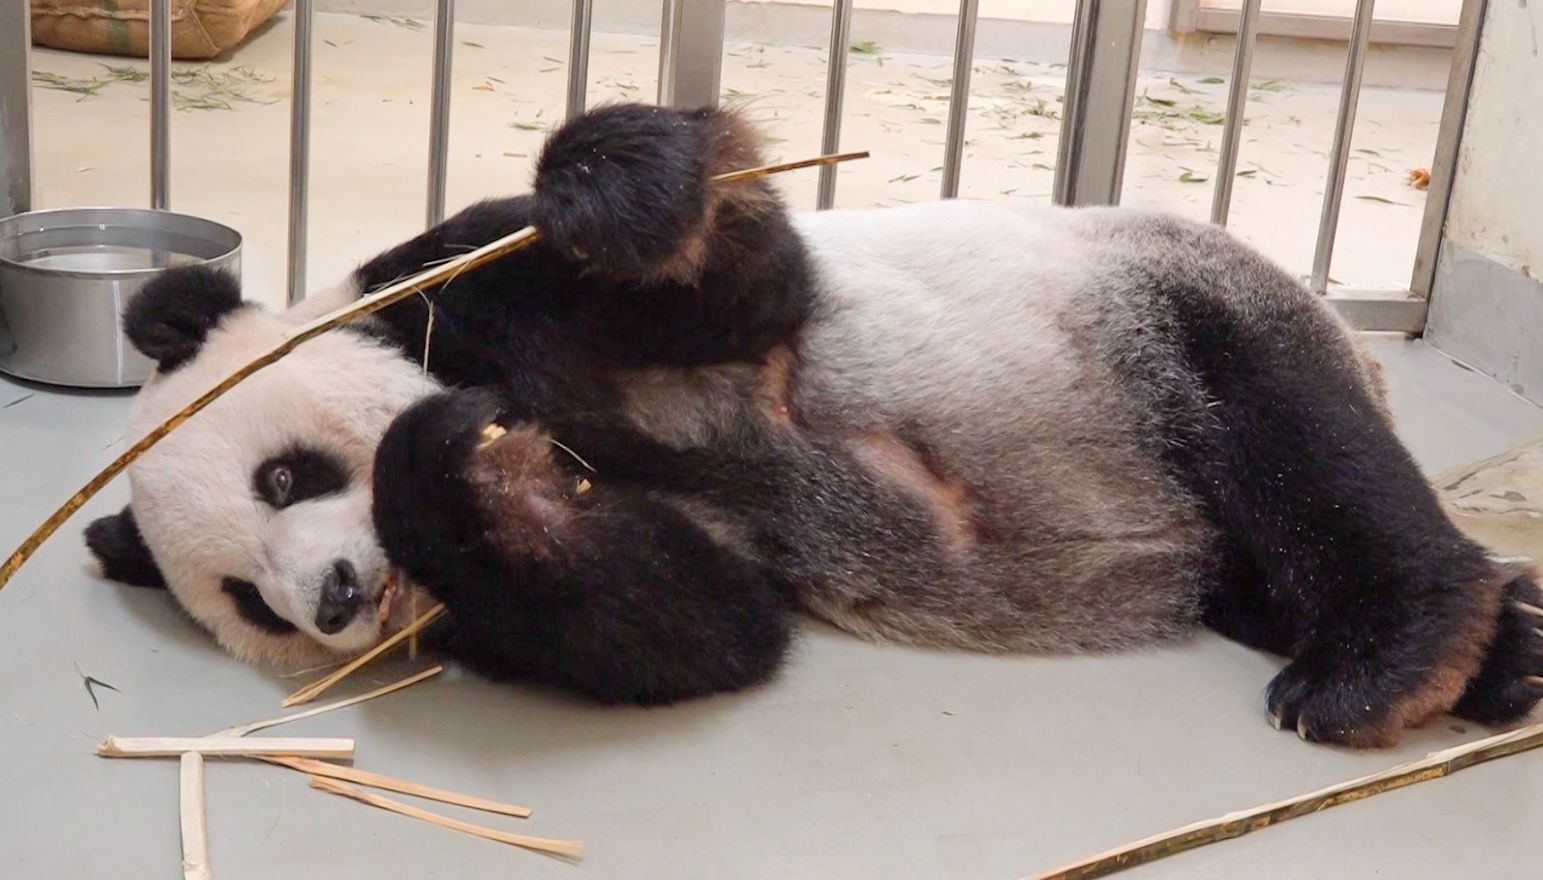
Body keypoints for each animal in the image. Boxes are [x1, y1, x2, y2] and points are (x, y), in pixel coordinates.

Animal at [81, 104, 1543, 747]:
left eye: (284, 475)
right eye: (248, 603)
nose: (333, 596)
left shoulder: (466, 288)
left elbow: (739, 281)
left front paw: (610, 189)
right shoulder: (567, 586)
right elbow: (691, 620)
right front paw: (474, 481)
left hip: (1161, 312)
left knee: (1303, 448)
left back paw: (1392, 654)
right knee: (1264, 548)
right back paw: (1503, 656)